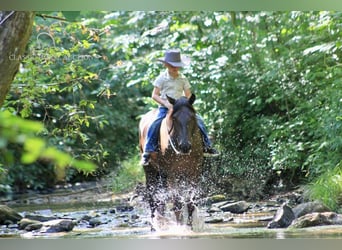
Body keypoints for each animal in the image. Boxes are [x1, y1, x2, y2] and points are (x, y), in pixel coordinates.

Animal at [138, 94, 204, 230]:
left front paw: (189, 227)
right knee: (152, 199)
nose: (184, 146)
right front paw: (180, 228)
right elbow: (177, 202)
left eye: (192, 116)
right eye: (174, 118)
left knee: (161, 202)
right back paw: (154, 228)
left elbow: (190, 202)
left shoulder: (194, 172)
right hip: (150, 171)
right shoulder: (172, 174)